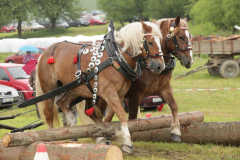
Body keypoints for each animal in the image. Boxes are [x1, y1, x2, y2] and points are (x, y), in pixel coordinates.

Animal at [36, 20, 165, 154]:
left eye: (161, 41)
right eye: (150, 42)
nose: (160, 66)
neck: (116, 58)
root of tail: (44, 53)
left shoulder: (120, 94)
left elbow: (108, 118)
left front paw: (103, 137)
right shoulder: (109, 93)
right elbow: (121, 114)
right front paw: (127, 142)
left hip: (76, 88)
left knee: (63, 102)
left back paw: (72, 127)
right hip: (49, 89)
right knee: (49, 113)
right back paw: (51, 137)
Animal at [82, 15, 193, 144]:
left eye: (190, 36)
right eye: (180, 37)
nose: (190, 61)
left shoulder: (164, 89)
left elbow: (174, 106)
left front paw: (176, 131)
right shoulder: (135, 95)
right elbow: (132, 118)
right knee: (97, 115)